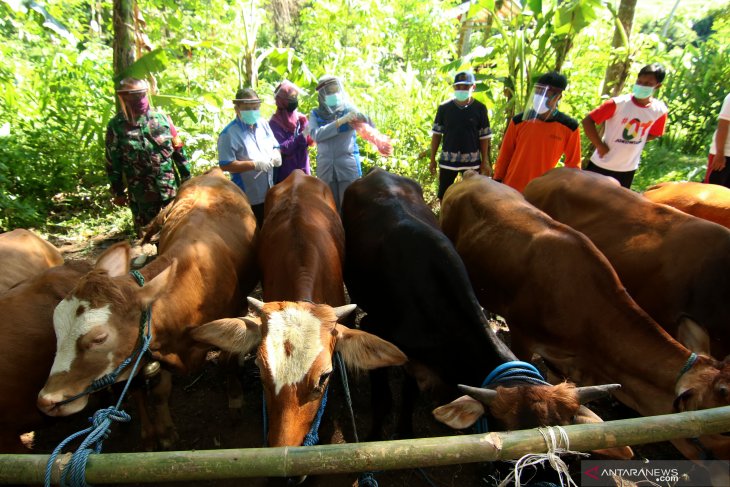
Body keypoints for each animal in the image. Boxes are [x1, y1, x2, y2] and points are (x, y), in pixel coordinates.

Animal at [37, 169, 258, 450]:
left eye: (99, 338)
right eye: (56, 329)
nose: (46, 400)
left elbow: (227, 363)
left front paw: (235, 401)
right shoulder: (151, 348)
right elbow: (158, 391)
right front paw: (162, 432)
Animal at [342, 168, 624, 458]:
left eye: (565, 442)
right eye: (504, 429)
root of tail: (377, 172)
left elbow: (409, 393)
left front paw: (405, 430)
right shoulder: (374, 329)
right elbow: (382, 400)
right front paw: (374, 437)